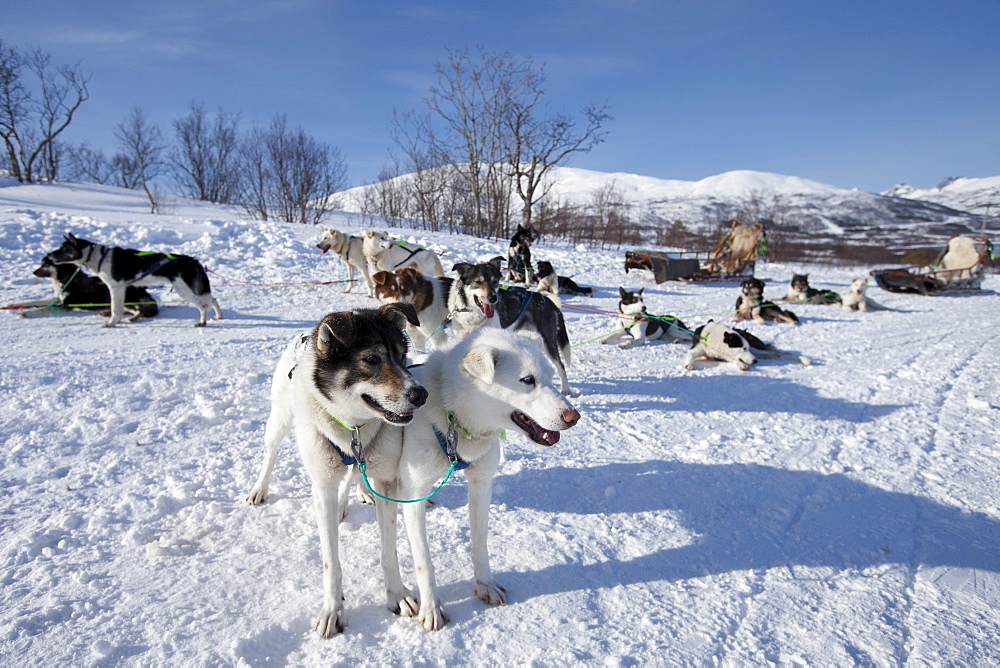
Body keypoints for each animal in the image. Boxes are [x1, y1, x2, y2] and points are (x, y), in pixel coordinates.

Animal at [46, 235, 222, 328]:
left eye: (64, 248)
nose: (49, 254)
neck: (99, 257)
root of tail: (192, 260)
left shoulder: (115, 288)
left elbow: (115, 309)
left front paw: (110, 323)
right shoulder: (122, 289)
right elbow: (118, 308)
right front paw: (116, 321)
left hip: (184, 290)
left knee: (203, 305)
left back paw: (202, 322)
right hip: (194, 288)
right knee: (212, 299)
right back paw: (218, 316)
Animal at [247, 306, 430, 640]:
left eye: (402, 355)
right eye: (371, 359)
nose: (421, 395)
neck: (352, 427)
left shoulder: (386, 480)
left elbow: (389, 551)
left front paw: (396, 594)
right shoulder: (322, 486)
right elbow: (331, 562)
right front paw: (333, 610)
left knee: (354, 472)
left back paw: (358, 492)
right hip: (280, 420)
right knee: (271, 452)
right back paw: (259, 489)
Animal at [374, 328, 580, 632]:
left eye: (552, 378)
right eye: (527, 380)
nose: (573, 416)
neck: (452, 418)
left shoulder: (482, 484)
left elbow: (480, 544)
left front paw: (485, 585)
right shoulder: (413, 495)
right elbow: (424, 560)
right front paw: (432, 608)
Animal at [680, 320, 812, 370]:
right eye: (743, 348)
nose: (755, 361)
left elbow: (735, 359)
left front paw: (742, 364)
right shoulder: (698, 348)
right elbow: (690, 354)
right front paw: (689, 364)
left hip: (757, 349)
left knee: (778, 351)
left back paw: (804, 359)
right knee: (774, 353)